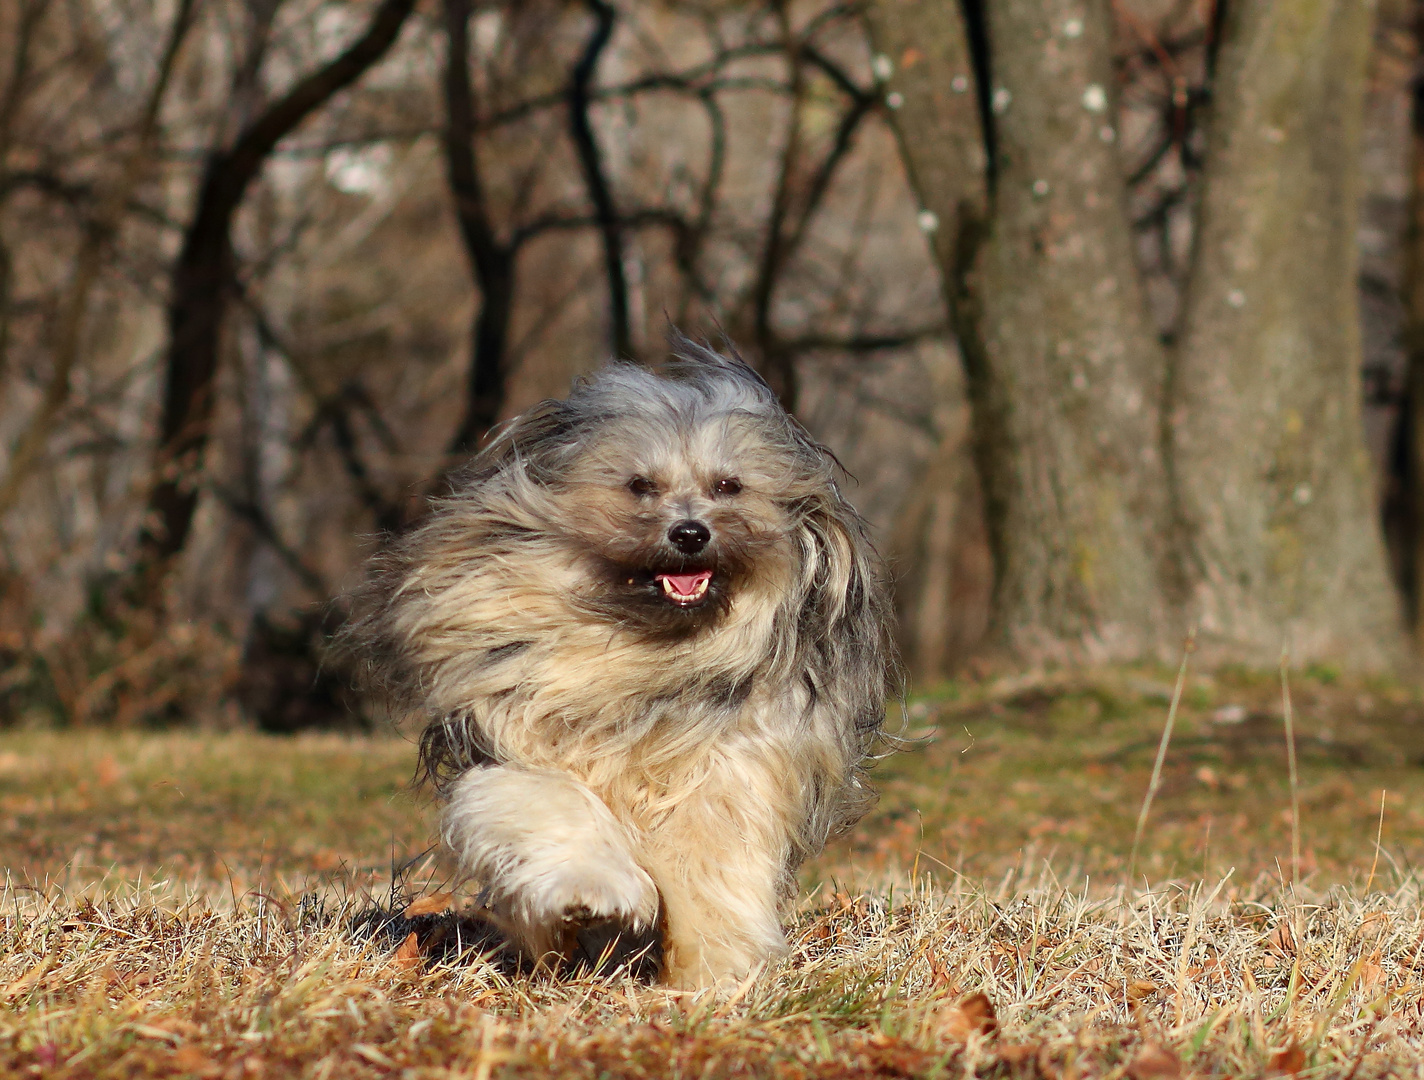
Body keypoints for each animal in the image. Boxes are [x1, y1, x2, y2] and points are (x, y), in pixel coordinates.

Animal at [353, 339, 888, 991]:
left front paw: (715, 972)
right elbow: (546, 804)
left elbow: (713, 858)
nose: (690, 533)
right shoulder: (516, 740)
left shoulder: (730, 769)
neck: (647, 653)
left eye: (729, 486)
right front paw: (592, 891)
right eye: (639, 486)